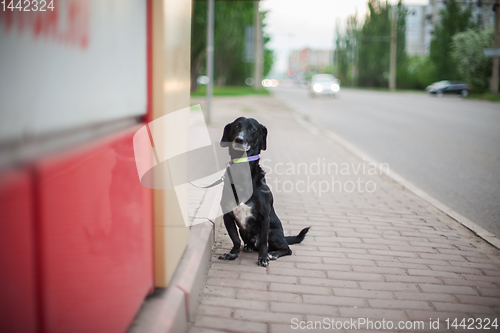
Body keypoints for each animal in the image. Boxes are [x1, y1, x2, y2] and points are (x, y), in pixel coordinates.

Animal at [218, 116, 308, 268]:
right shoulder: (228, 216)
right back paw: (248, 247)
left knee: (287, 249)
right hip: (244, 231)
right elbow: (235, 239)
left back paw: (274, 253)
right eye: (236, 126)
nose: (239, 139)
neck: (242, 173)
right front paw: (232, 254)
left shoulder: (265, 217)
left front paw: (263, 258)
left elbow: (263, 244)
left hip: (273, 233)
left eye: (252, 129)